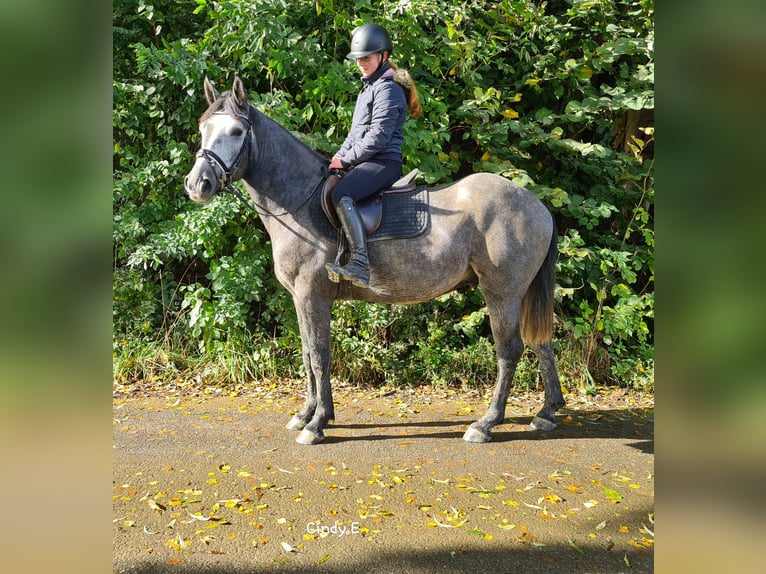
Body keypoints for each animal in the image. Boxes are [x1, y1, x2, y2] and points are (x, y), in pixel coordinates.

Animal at [182, 76, 564, 446]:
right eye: (203, 128)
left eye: (237, 131)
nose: (197, 185)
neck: (299, 200)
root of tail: (537, 205)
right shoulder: (301, 299)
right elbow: (307, 354)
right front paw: (307, 415)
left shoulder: (312, 296)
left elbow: (318, 357)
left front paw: (317, 424)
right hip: (520, 293)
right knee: (541, 342)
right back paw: (547, 413)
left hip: (502, 292)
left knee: (510, 350)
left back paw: (486, 424)